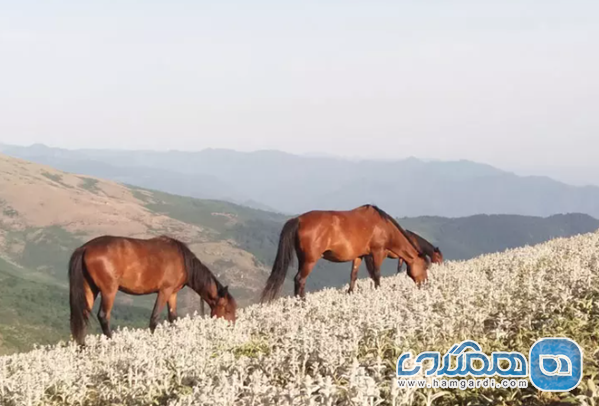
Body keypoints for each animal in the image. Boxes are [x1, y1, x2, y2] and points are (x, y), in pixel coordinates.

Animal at [68, 235, 237, 346]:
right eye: (228, 310)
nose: (232, 329)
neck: (183, 260)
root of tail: (85, 248)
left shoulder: (173, 293)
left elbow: (173, 318)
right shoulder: (164, 291)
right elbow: (154, 319)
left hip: (90, 289)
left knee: (83, 315)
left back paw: (82, 346)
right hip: (109, 290)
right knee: (103, 316)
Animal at [260, 205, 428, 302]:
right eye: (425, 267)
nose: (424, 284)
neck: (384, 227)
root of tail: (298, 220)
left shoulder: (359, 256)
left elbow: (353, 276)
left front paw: (350, 293)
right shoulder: (377, 252)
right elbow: (376, 276)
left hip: (303, 259)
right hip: (310, 261)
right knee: (300, 280)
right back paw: (302, 303)